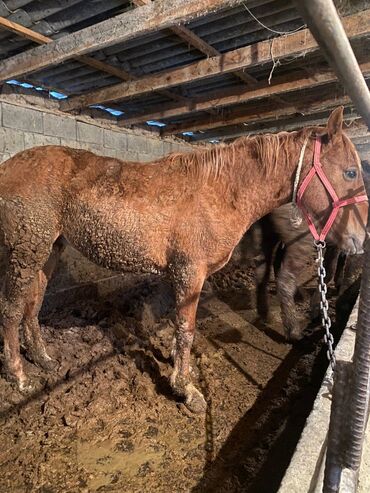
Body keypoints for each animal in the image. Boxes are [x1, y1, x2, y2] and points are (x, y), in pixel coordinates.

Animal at [0, 107, 368, 412]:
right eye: (351, 172)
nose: (360, 239)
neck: (217, 192)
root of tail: (8, 167)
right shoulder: (190, 273)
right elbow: (186, 329)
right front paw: (186, 389)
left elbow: (173, 324)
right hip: (26, 250)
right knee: (13, 310)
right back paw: (19, 377)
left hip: (48, 250)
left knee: (33, 305)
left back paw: (44, 360)